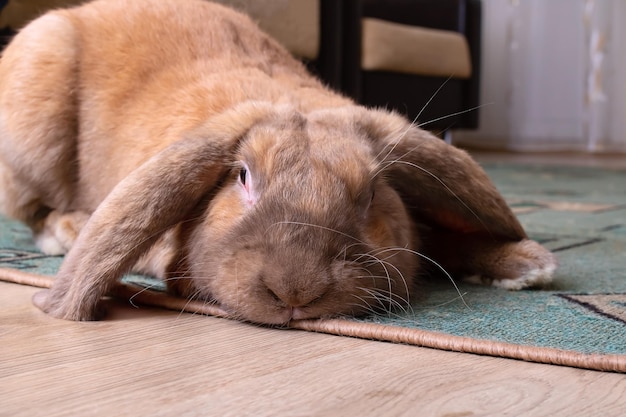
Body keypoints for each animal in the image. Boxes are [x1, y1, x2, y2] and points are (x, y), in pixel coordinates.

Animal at [0, 0, 556, 324]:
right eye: (243, 177)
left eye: (371, 194)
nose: (296, 289)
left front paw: (525, 265)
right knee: (35, 210)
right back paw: (70, 229)